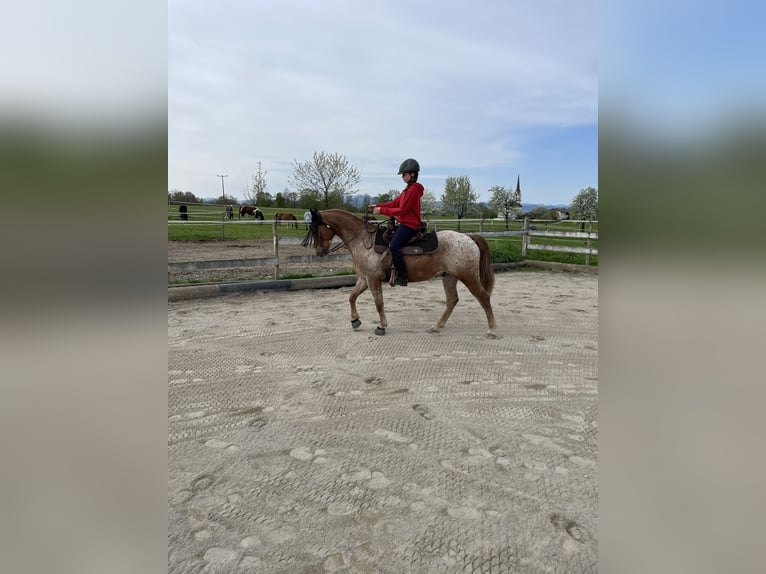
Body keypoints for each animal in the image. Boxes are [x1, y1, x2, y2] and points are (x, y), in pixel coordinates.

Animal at [300, 210, 498, 338]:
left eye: (315, 229)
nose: (319, 252)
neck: (363, 240)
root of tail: (469, 237)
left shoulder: (373, 280)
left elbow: (379, 303)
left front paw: (381, 327)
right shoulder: (364, 279)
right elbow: (351, 296)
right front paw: (355, 320)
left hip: (469, 277)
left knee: (484, 298)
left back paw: (491, 330)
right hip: (449, 277)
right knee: (452, 300)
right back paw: (436, 327)